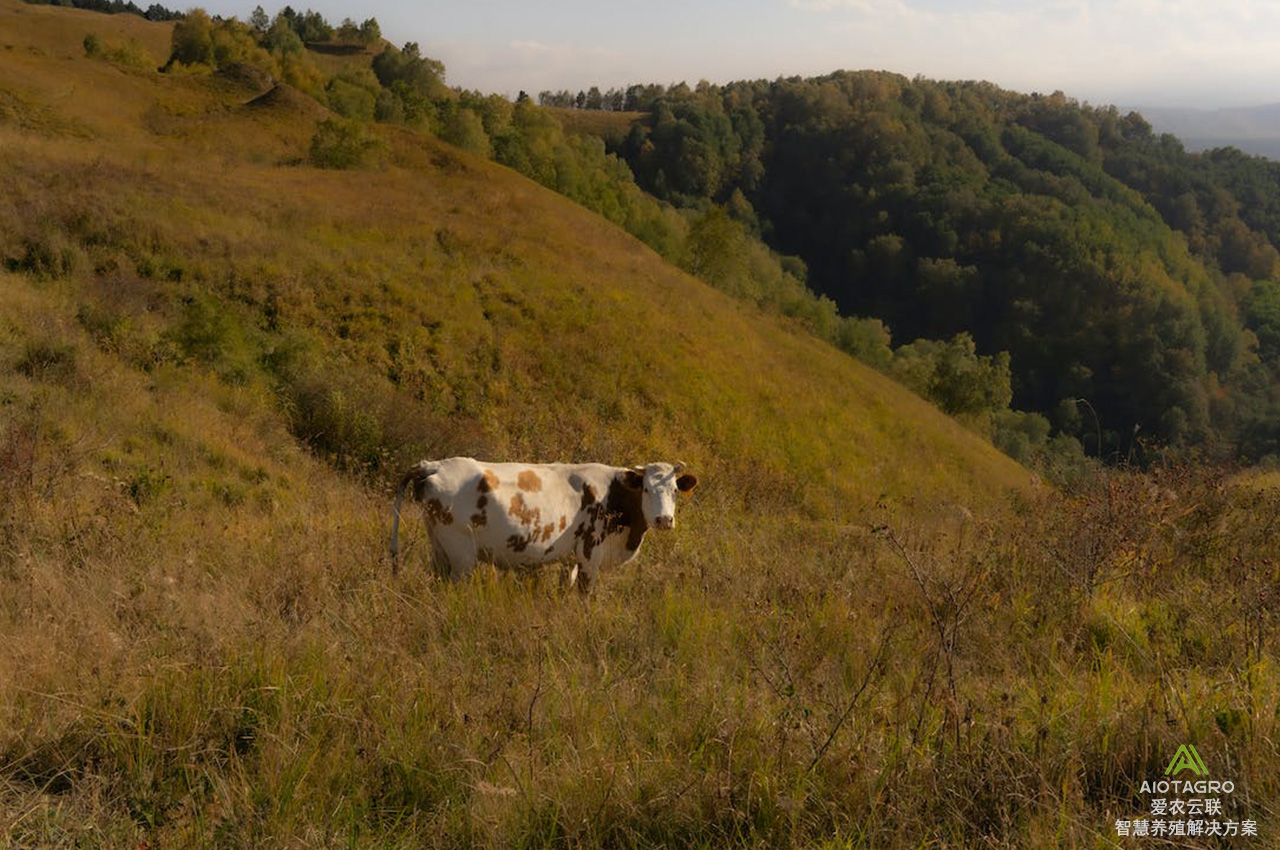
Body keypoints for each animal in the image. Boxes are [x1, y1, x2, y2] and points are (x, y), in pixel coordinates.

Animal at [386, 458, 701, 591]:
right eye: (646, 489)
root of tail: (434, 464)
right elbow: (585, 595)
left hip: (439, 544)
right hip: (461, 551)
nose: (664, 519)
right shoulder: (590, 553)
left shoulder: (571, 559)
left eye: (674, 490)